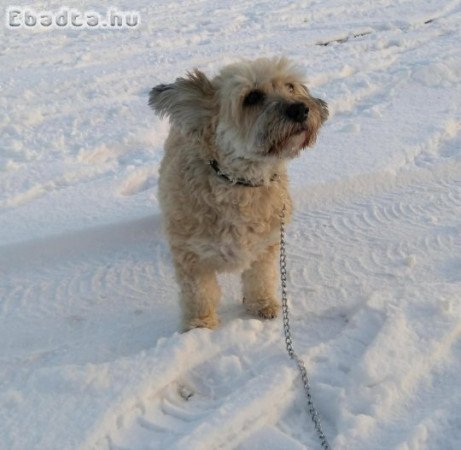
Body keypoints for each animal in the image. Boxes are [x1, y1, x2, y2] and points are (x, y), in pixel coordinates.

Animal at [148, 56, 328, 330]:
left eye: (290, 86)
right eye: (252, 97)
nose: (300, 109)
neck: (239, 183)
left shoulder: (265, 245)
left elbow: (260, 278)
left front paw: (261, 305)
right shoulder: (192, 256)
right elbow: (199, 294)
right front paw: (200, 326)